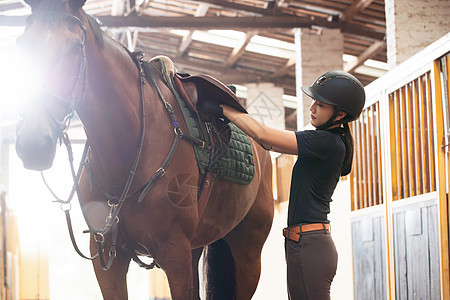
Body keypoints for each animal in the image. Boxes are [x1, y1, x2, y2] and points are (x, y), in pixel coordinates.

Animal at [13, 0, 274, 298]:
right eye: (23, 45)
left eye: (76, 48)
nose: (34, 143)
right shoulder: (106, 257)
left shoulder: (175, 254)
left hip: (247, 254)